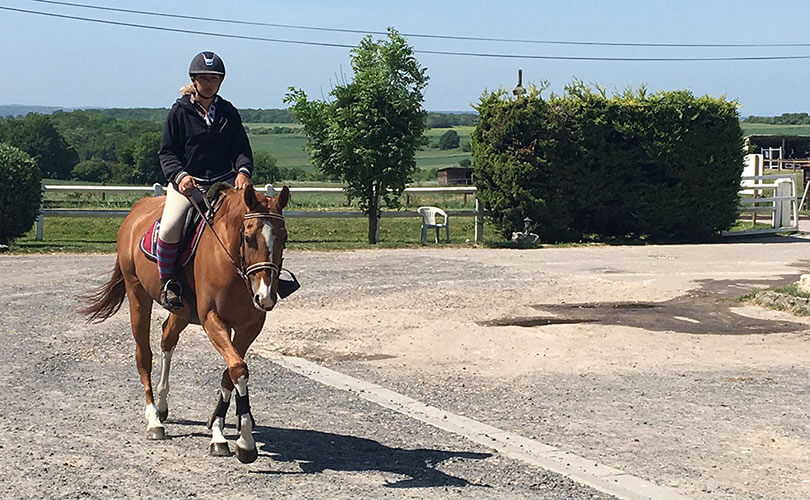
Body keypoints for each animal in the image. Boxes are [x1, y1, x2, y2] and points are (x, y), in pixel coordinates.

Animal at [82, 184, 288, 464]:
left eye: (284, 238)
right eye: (248, 238)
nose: (265, 296)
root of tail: (137, 209)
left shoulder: (250, 326)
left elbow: (230, 372)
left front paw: (218, 428)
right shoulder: (213, 320)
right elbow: (238, 368)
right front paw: (244, 442)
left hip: (181, 311)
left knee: (167, 339)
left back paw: (162, 405)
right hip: (138, 297)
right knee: (144, 354)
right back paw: (154, 419)